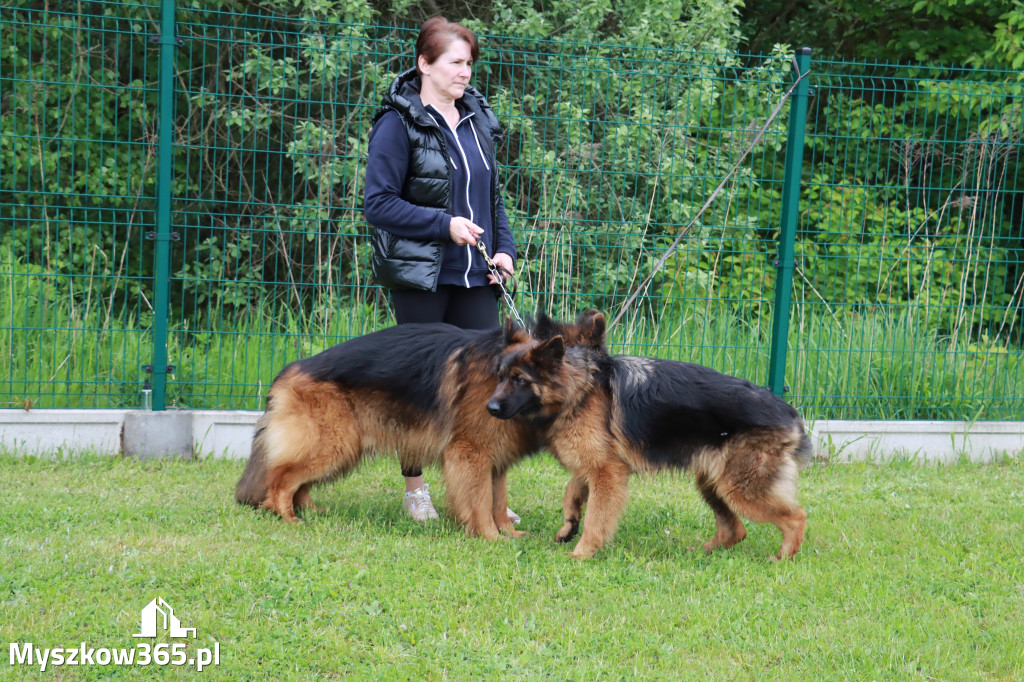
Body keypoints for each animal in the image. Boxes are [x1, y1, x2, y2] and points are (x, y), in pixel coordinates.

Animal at [235, 315, 598, 540]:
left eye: (593, 369)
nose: (492, 408)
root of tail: (291, 369)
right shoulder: (471, 454)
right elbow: (480, 501)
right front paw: (490, 537)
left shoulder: (496, 460)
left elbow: (498, 501)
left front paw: (508, 533)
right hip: (333, 444)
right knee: (280, 480)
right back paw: (287, 516)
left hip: (342, 448)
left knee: (298, 483)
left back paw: (310, 510)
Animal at [487, 311, 815, 561]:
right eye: (500, 378)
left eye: (519, 380)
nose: (490, 407)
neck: (581, 384)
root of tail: (789, 412)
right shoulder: (596, 464)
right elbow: (572, 492)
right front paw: (569, 526)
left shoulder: (607, 472)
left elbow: (596, 517)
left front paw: (582, 553)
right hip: (713, 483)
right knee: (736, 529)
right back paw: (702, 553)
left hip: (741, 488)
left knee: (797, 517)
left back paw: (783, 557)